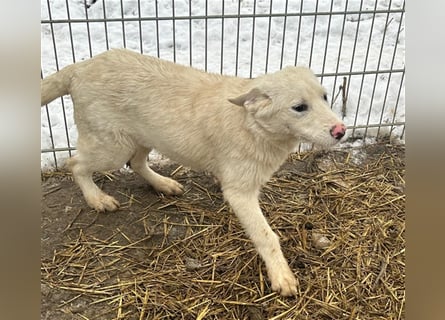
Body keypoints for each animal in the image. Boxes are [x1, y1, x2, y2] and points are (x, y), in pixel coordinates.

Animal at [41, 48, 346, 296]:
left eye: (325, 97)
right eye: (299, 107)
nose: (341, 131)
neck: (252, 125)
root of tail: (80, 66)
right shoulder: (239, 192)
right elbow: (266, 235)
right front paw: (281, 276)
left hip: (143, 138)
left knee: (136, 163)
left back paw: (163, 184)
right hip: (112, 147)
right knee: (75, 164)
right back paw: (97, 199)